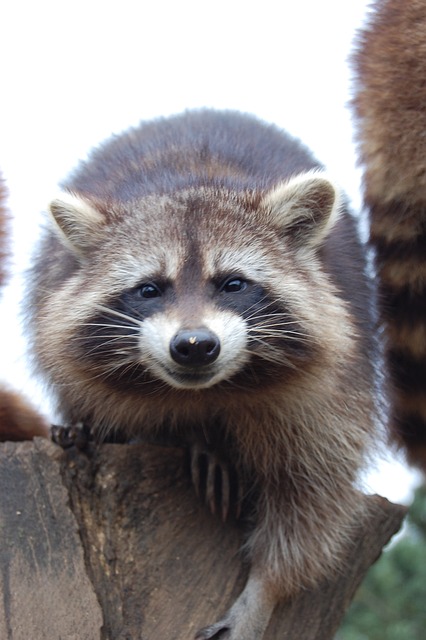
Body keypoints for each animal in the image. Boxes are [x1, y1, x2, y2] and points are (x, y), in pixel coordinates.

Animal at [28, 110, 376, 639]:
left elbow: (315, 493)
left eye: (233, 284)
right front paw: (193, 437)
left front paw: (264, 590)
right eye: (149, 289)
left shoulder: (332, 389)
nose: (194, 346)